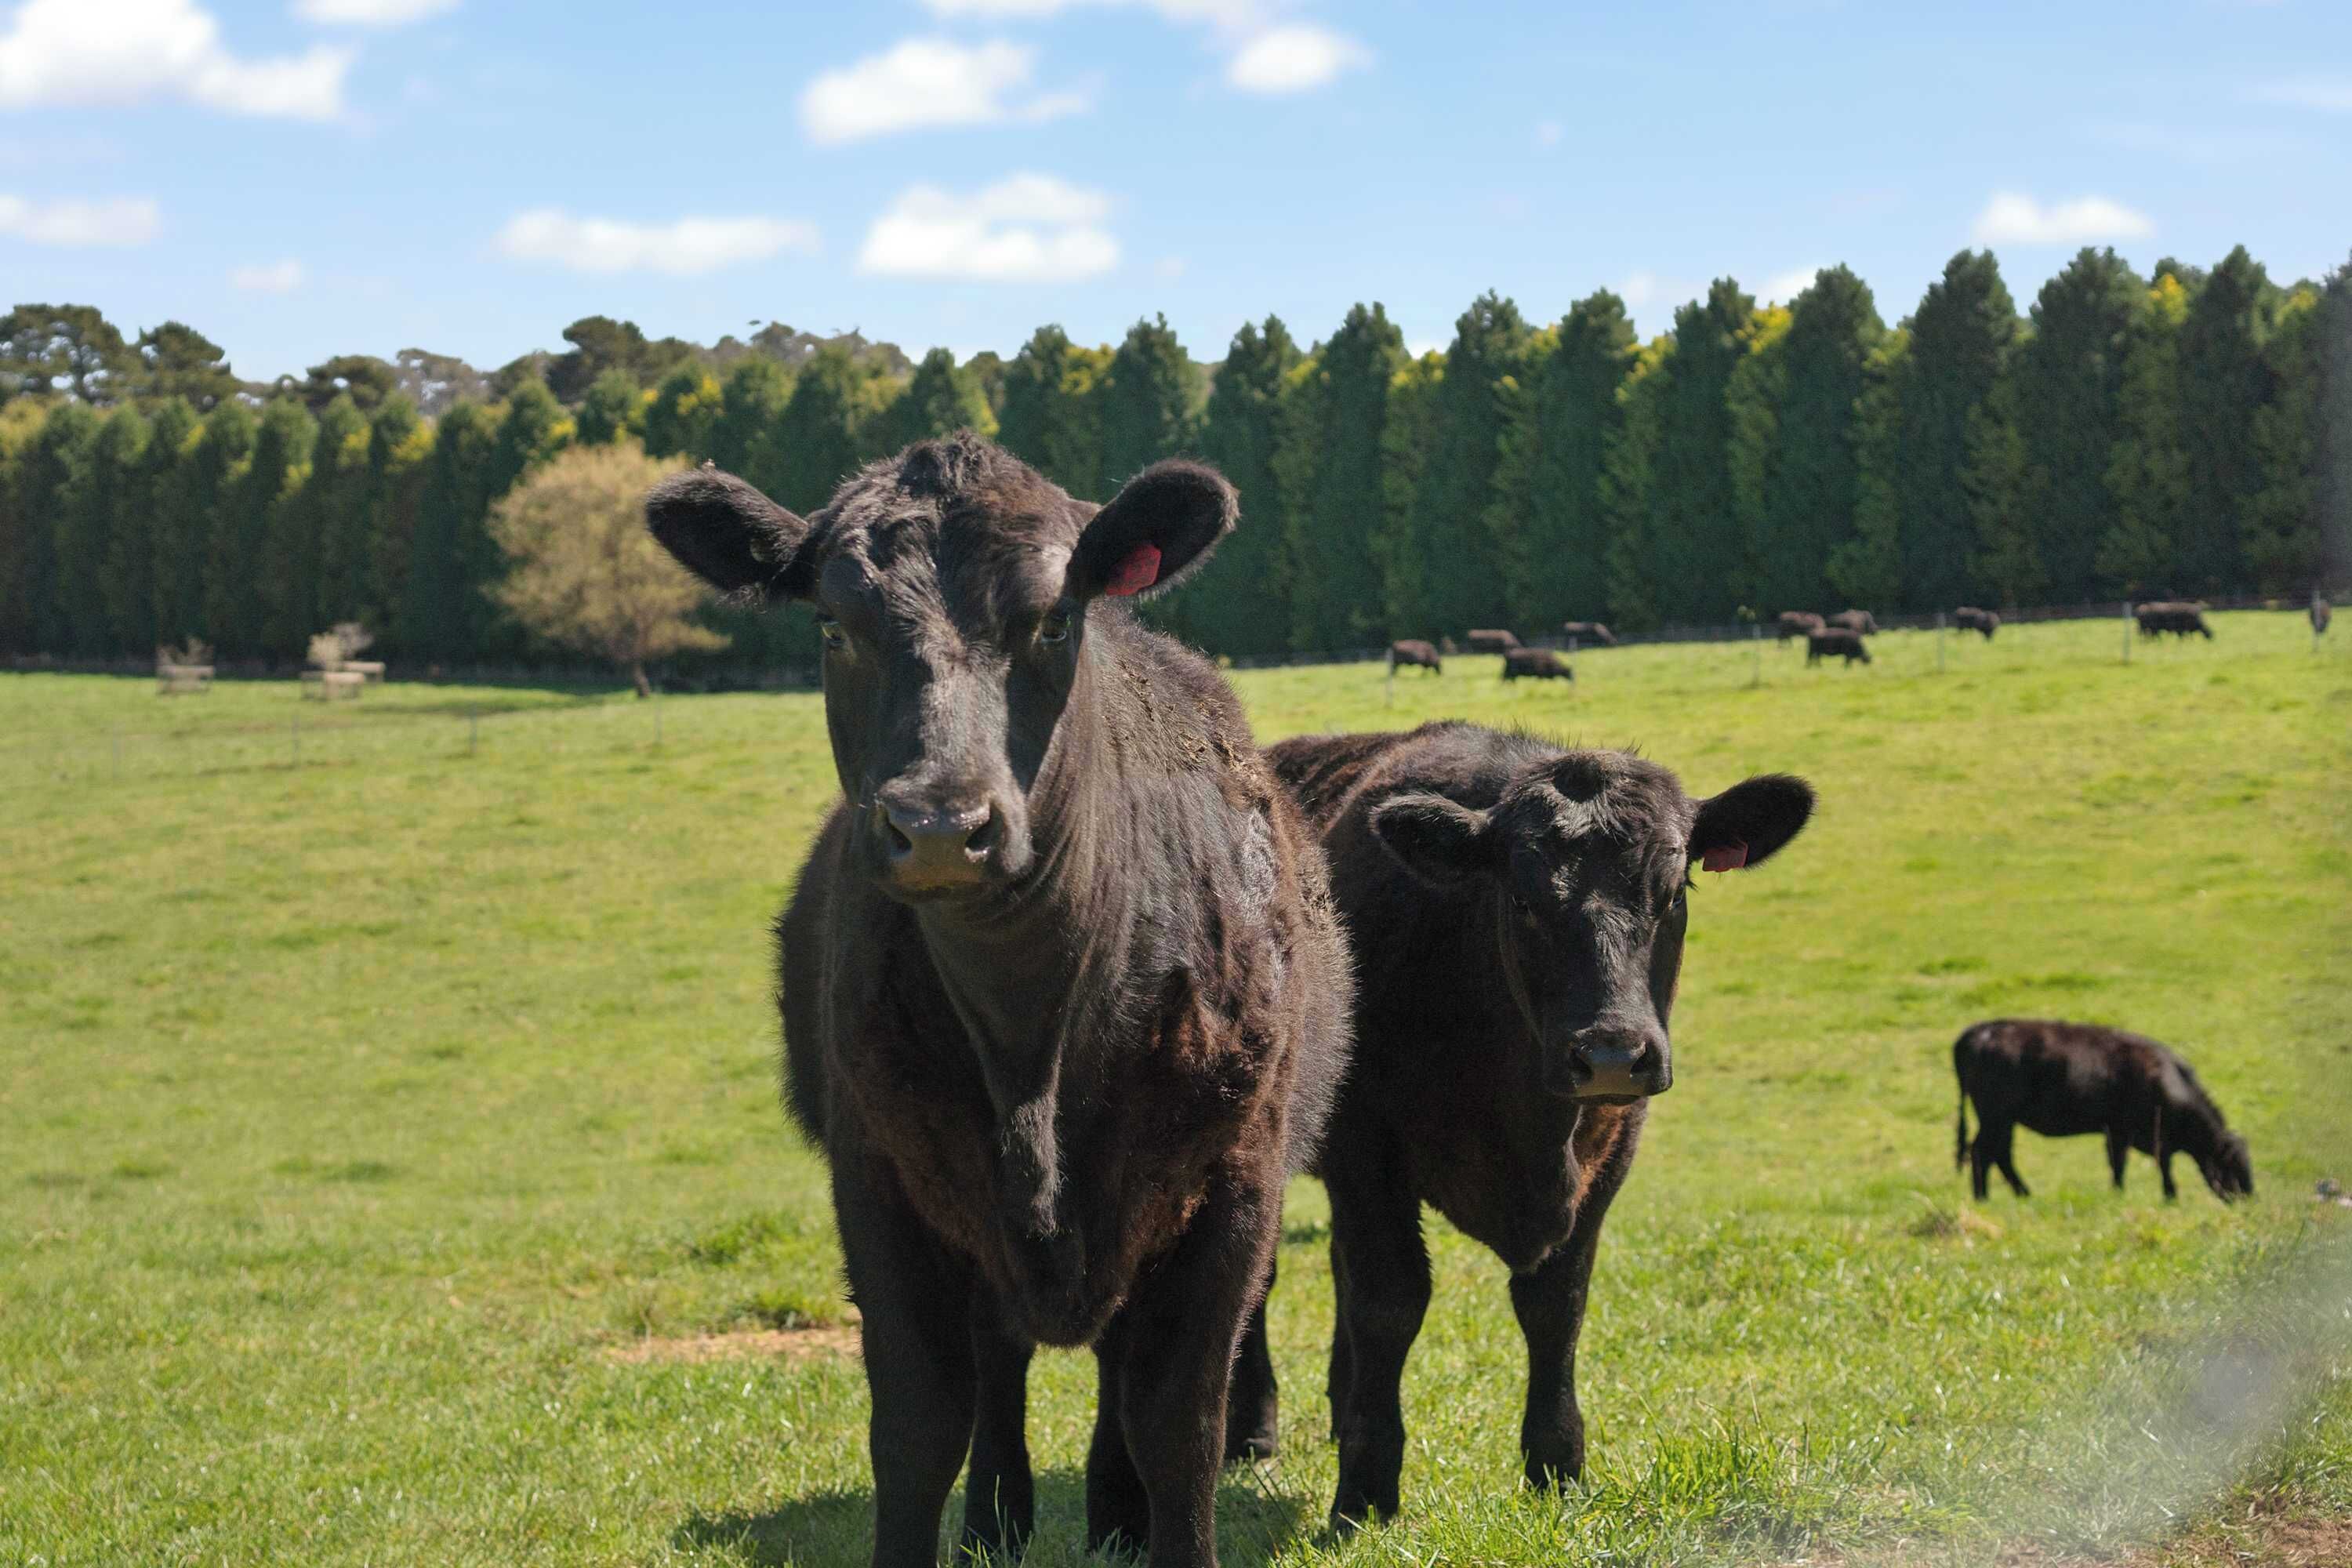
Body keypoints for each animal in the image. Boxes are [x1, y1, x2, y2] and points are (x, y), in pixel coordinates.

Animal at [645, 436, 1353, 1568]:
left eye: (1054, 618)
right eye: (833, 623)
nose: (940, 824)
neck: (1033, 1042)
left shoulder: (1230, 1182)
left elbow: (1179, 1423)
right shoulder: (882, 1179)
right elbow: (923, 1420)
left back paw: (1112, 1513)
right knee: (1001, 1363)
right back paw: (998, 1519)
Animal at [1228, 722, 1814, 1530]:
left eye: (1673, 892)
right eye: (1524, 897)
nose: (1611, 1053)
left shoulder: (1610, 1152)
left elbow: (1554, 1304)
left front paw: (1557, 1471)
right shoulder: (1364, 1152)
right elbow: (1391, 1299)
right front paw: (1365, 1494)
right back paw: (1252, 1429)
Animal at [1953, 1020, 2252, 1204]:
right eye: (2234, 1164)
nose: (2249, 1198)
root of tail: (1977, 1032)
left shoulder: (2138, 1135)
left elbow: (2156, 1163)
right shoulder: (2122, 1132)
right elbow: (2124, 1164)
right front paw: (2141, 1195)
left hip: (2004, 1121)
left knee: (1999, 1154)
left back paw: (2023, 1194)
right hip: (1996, 1118)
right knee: (1982, 1153)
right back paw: (1985, 1198)